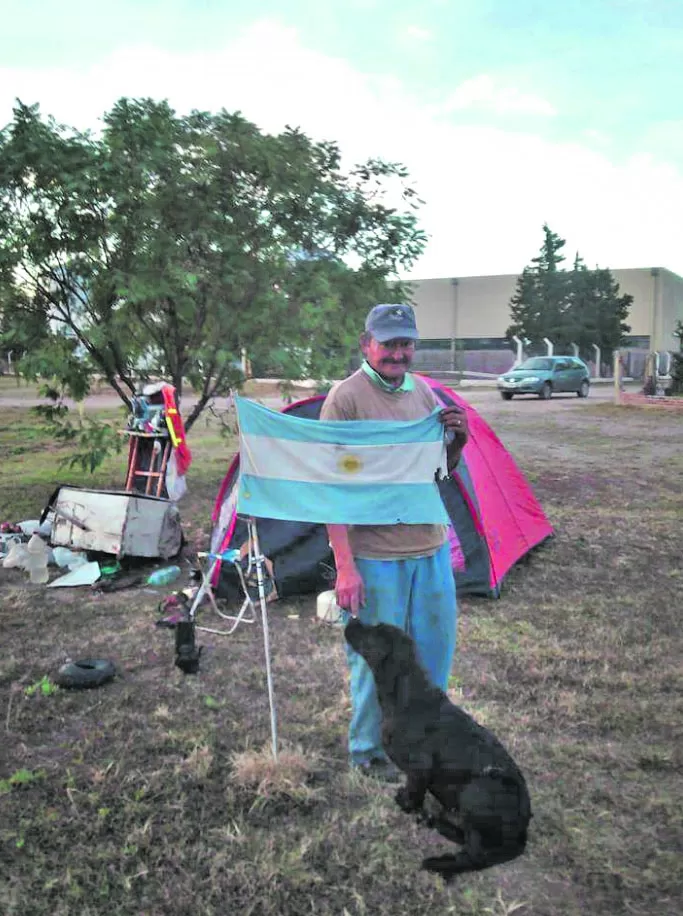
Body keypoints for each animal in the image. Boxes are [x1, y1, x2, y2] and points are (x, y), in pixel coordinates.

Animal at [344, 620, 532, 884]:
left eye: (375, 631)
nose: (351, 619)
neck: (406, 696)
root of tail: (523, 830)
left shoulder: (419, 768)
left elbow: (414, 794)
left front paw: (406, 806)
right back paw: (436, 822)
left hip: (476, 791)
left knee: (474, 855)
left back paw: (437, 862)